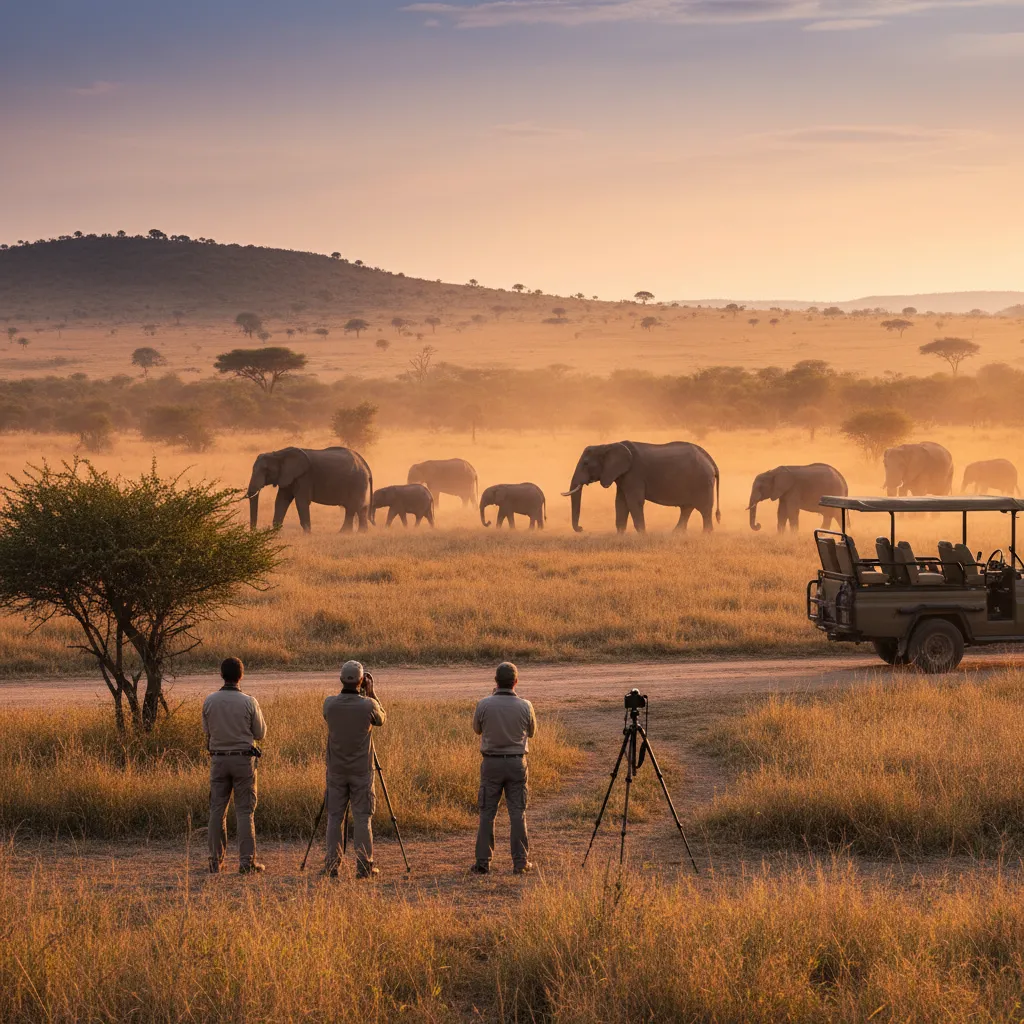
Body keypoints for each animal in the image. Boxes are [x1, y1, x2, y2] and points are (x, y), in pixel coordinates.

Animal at [563, 440, 721, 533]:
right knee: (687, 508)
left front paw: (642, 536)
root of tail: (710, 459)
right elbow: (620, 503)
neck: (608, 445)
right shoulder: (622, 476)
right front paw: (620, 536)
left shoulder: (634, 474)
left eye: (586, 463)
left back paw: (705, 535)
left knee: (704, 510)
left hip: (702, 482)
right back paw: (676, 534)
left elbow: (634, 502)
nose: (581, 528)